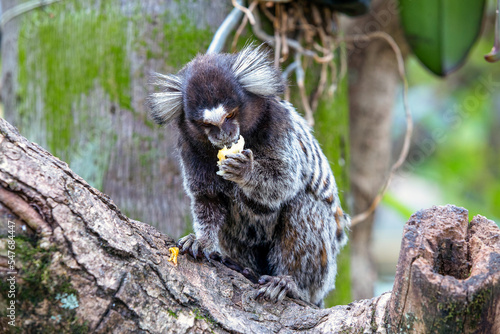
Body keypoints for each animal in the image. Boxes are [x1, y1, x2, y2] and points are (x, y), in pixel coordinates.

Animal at [147, 45, 348, 308]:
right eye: (206, 124)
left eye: (230, 115)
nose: (223, 134)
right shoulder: (189, 148)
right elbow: (207, 200)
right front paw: (202, 241)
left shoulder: (278, 124)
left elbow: (285, 180)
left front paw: (246, 172)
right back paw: (239, 266)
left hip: (323, 270)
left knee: (303, 206)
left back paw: (290, 283)